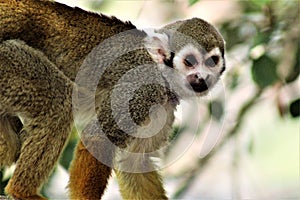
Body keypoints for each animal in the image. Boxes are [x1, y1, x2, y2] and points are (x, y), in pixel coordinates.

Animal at [0, 0, 225, 198]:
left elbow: (134, 163)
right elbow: (97, 136)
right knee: (59, 100)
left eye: (211, 61)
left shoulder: (163, 105)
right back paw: (21, 191)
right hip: (8, 63)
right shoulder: (140, 89)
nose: (201, 77)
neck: (162, 74)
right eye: (190, 61)